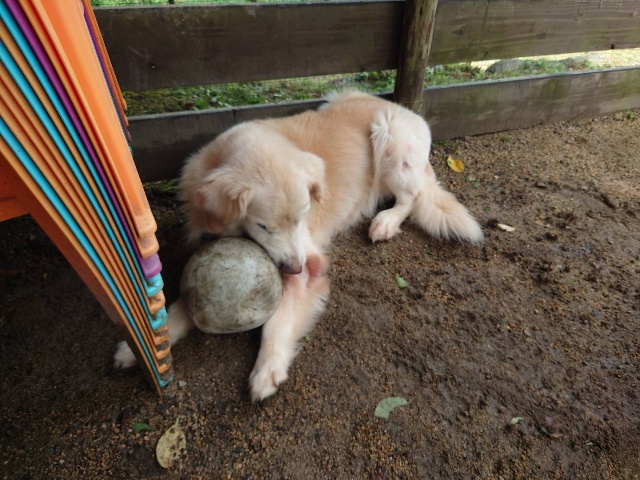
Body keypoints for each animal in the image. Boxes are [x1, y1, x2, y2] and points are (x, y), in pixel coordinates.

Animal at [114, 90, 483, 401]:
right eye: (264, 226)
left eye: (302, 216)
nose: (297, 268)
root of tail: (401, 107)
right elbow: (181, 306)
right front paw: (141, 348)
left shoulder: (306, 261)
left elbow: (277, 322)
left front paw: (267, 369)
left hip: (391, 143)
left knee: (412, 197)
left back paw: (386, 221)